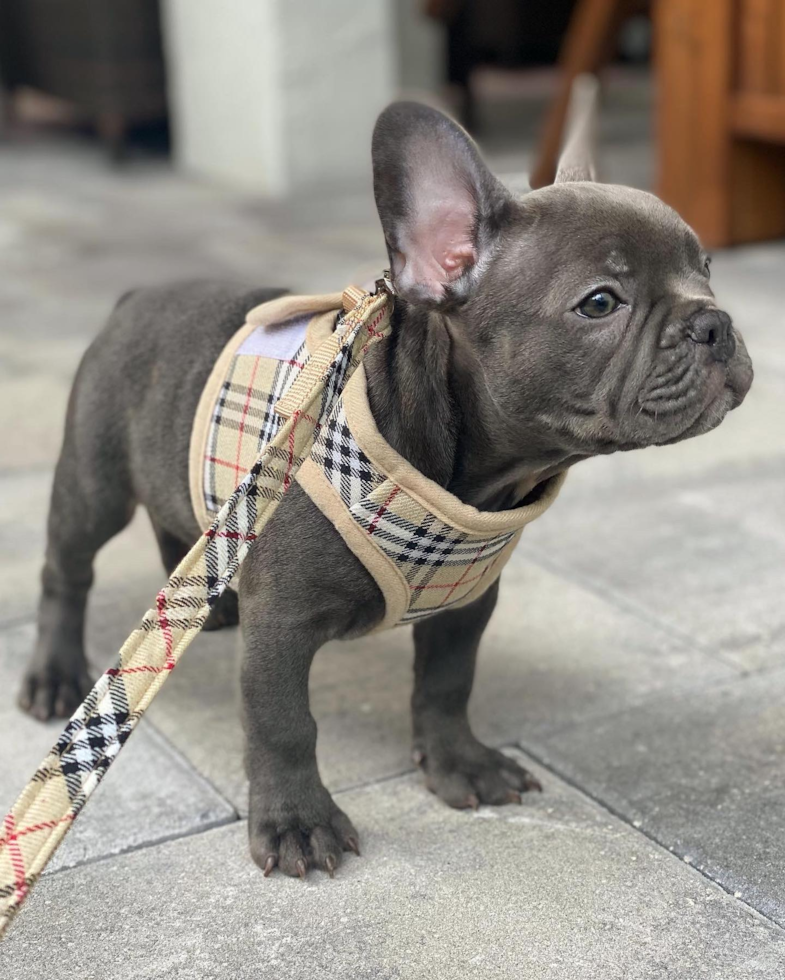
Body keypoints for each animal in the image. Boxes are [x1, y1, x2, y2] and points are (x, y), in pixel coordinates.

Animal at [19, 97, 752, 880]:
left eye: (707, 270)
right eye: (600, 303)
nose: (714, 322)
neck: (463, 476)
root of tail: (134, 296)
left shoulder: (465, 606)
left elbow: (446, 684)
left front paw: (459, 765)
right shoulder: (282, 630)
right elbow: (283, 723)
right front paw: (296, 822)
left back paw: (213, 609)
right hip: (94, 486)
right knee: (66, 571)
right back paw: (53, 674)